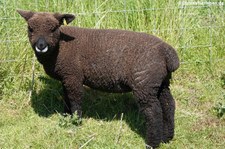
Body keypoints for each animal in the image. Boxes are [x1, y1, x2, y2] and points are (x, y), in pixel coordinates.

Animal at [17, 9, 179, 148]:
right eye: (30, 28)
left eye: (54, 28)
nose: (41, 46)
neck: (59, 47)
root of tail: (168, 54)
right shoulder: (66, 77)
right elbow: (66, 98)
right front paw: (65, 117)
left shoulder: (73, 76)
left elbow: (75, 99)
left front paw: (76, 122)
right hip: (160, 83)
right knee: (168, 104)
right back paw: (167, 138)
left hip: (144, 83)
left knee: (154, 112)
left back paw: (152, 144)